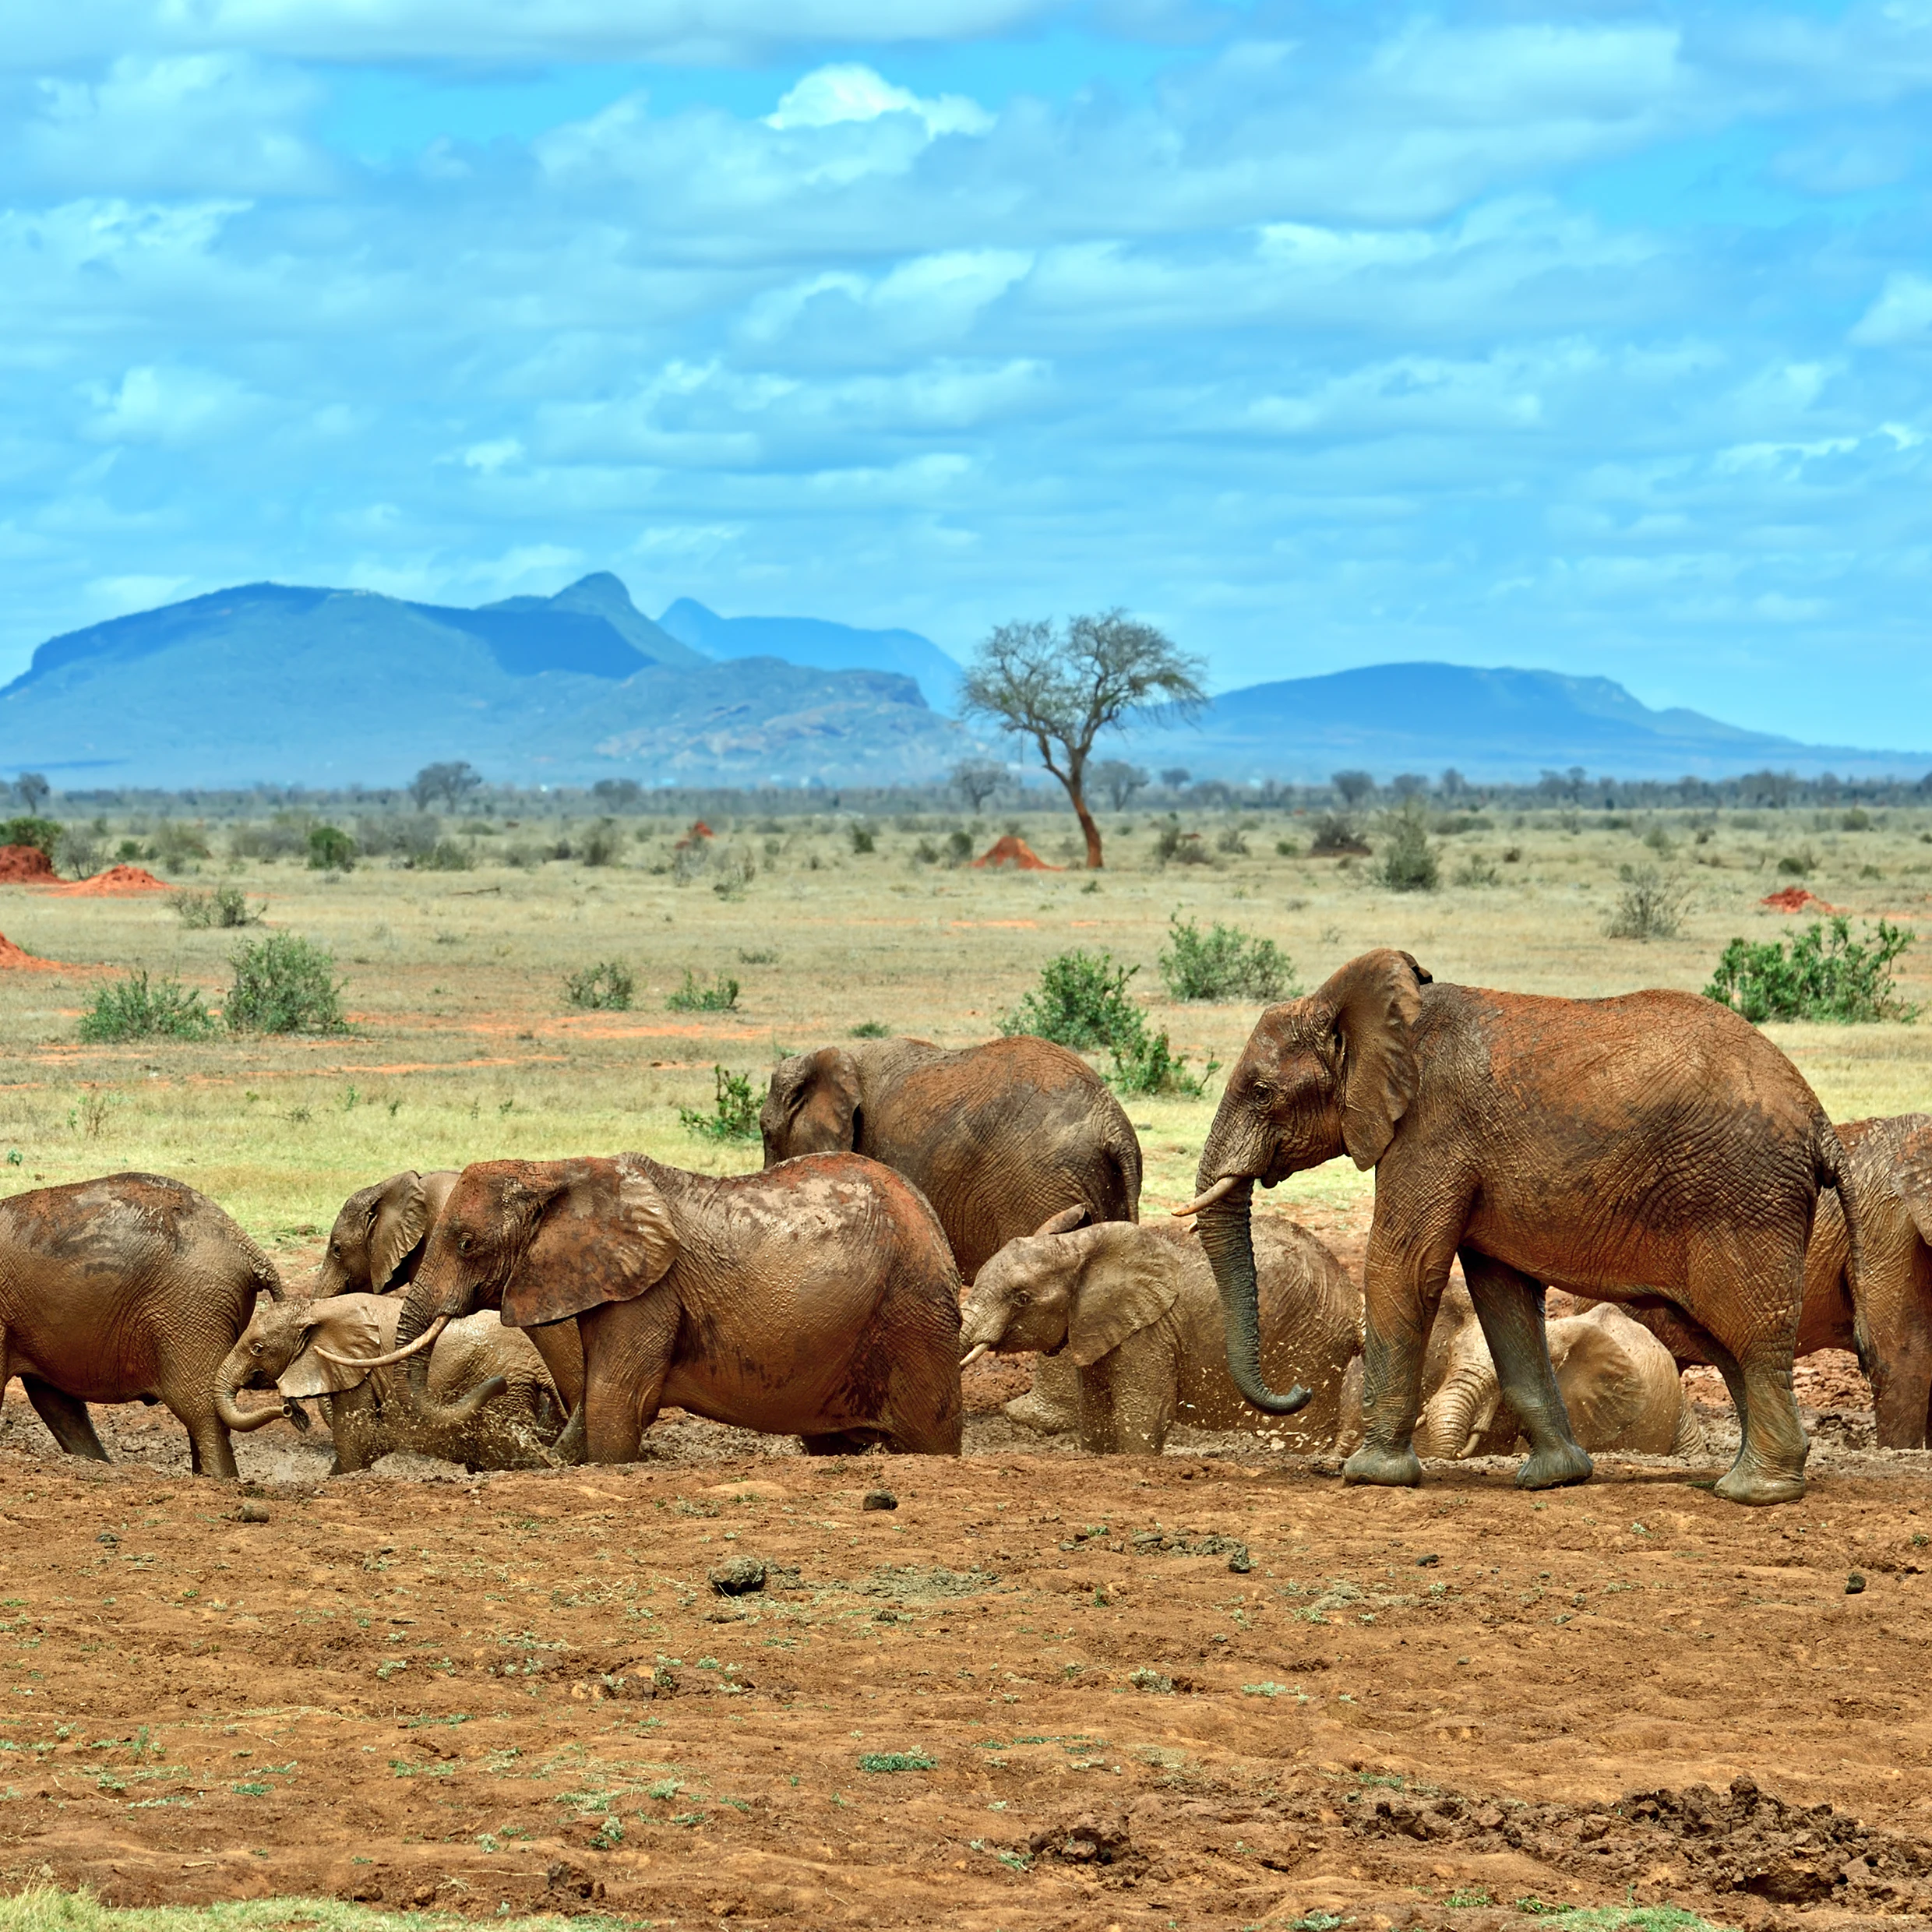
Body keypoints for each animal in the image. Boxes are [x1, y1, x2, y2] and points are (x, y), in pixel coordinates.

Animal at [213, 1292, 567, 1473]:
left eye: (258, 1349)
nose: (292, 1413)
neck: (316, 1307)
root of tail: (539, 1366)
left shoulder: (356, 1369)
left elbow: (353, 1439)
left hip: (506, 1393)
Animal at [960, 1208, 1359, 1454]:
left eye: (1022, 1298)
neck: (1079, 1247)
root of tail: (1351, 1293)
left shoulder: (1150, 1334)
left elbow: (1145, 1413)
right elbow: (1095, 1413)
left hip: (1311, 1346)